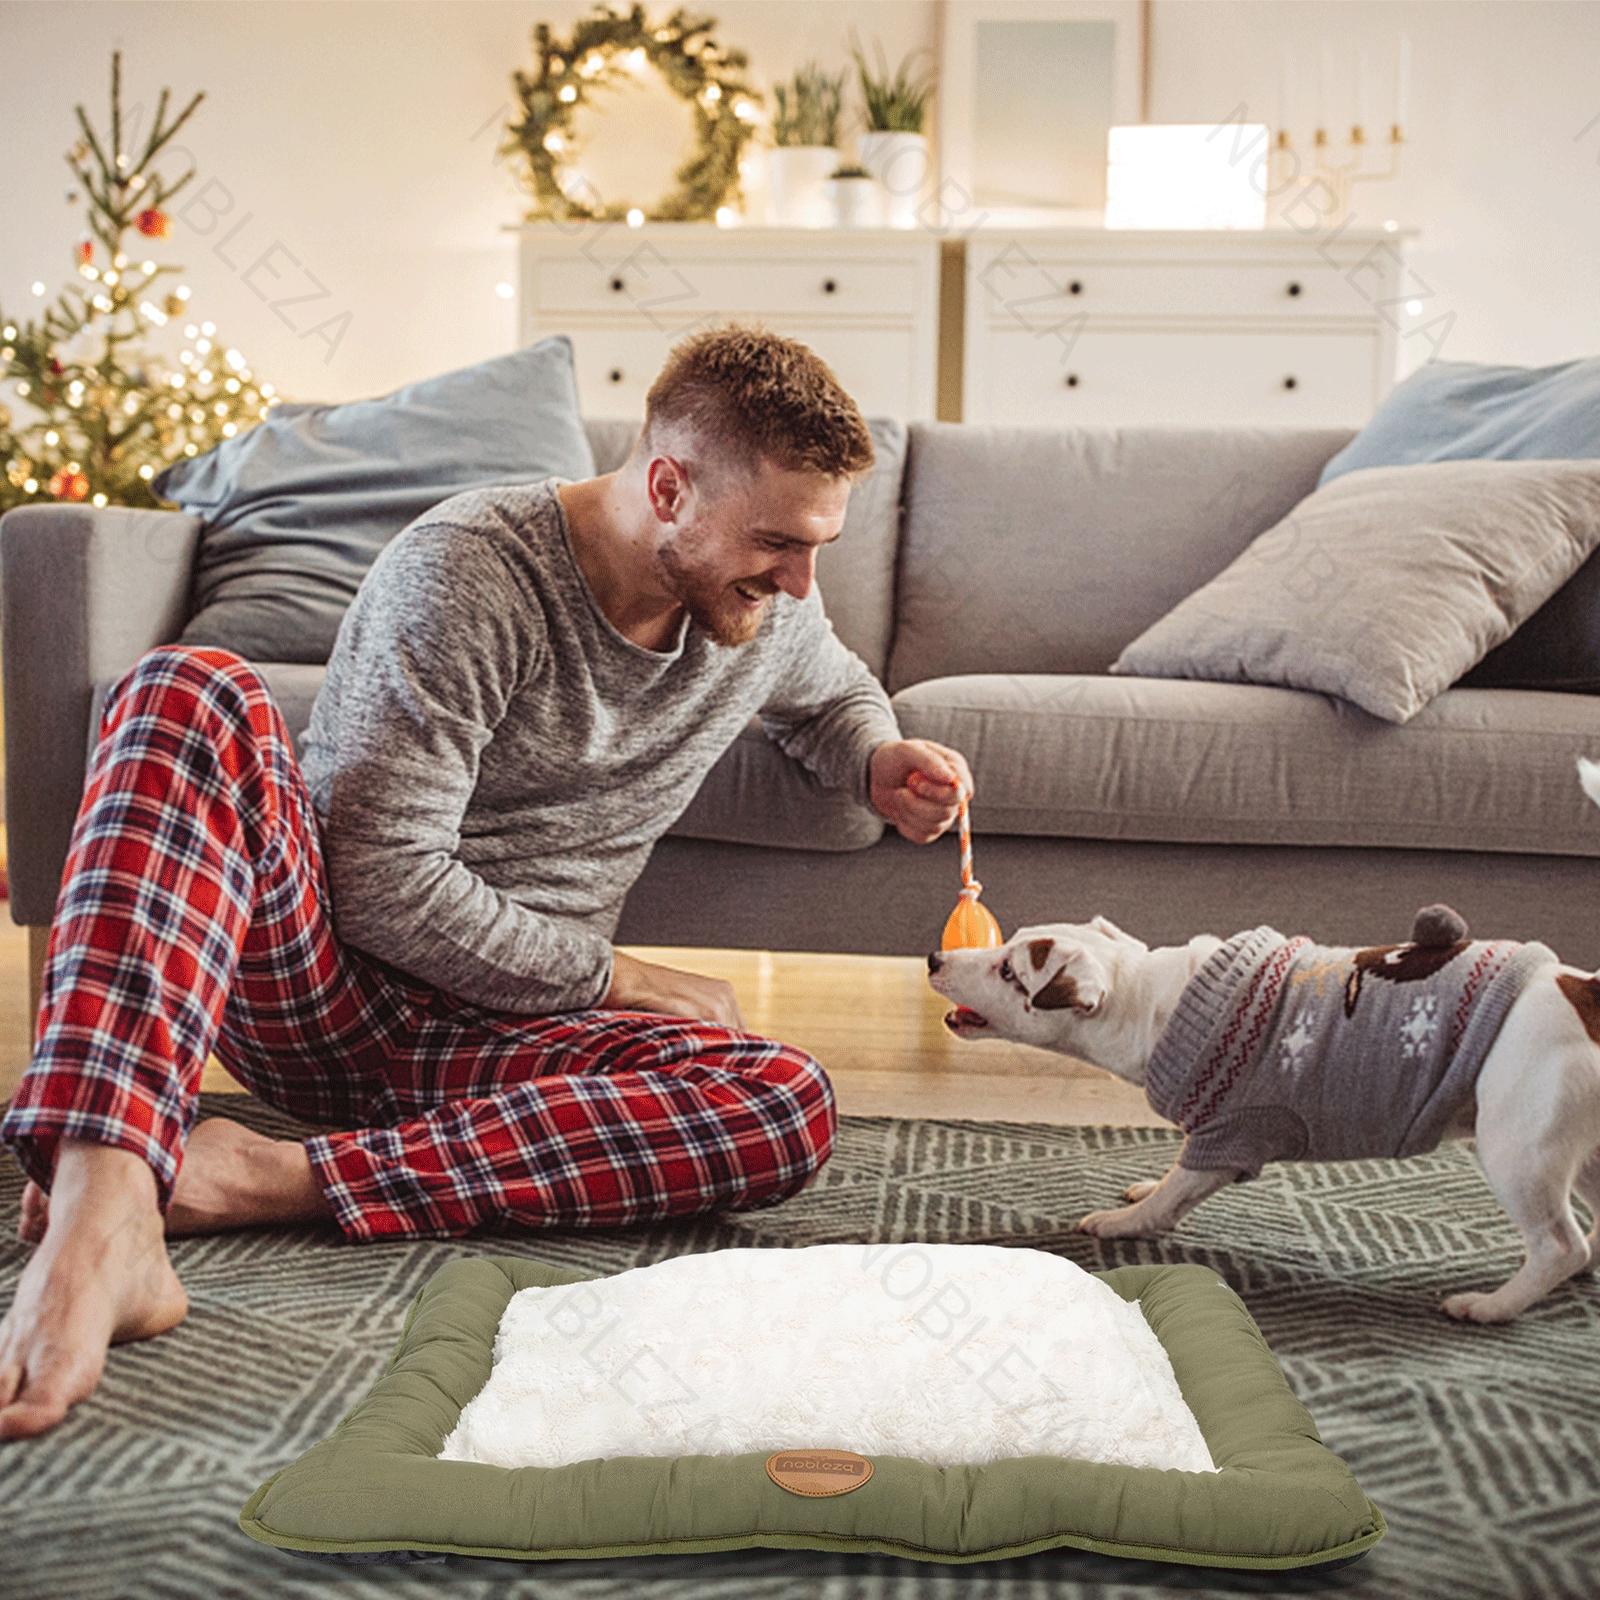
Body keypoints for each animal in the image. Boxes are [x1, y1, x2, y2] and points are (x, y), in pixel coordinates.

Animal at [921, 761, 1600, 1324]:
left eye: (1009, 971)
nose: (933, 958)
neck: (1154, 1001)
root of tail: (1583, 991)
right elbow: (1169, 1181)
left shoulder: (1230, 1135)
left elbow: (1173, 1194)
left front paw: (1124, 1220)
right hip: (1583, 1152)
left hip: (1519, 1146)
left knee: (1559, 1245)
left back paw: (1492, 1305)